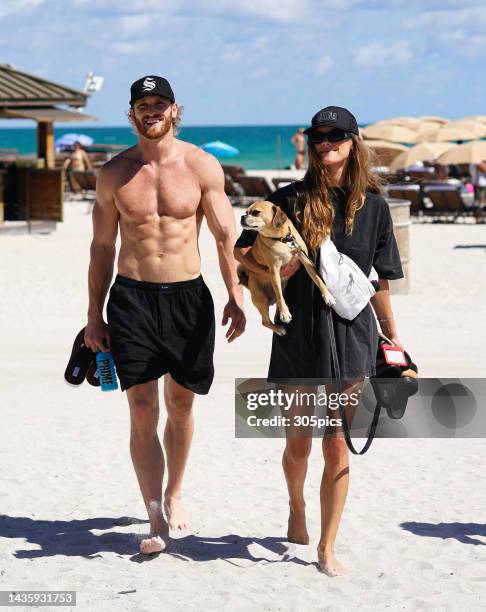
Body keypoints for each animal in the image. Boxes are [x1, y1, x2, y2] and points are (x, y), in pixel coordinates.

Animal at [238, 201, 336, 334]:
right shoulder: (274, 271)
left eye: (256, 212)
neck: (282, 239)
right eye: (246, 212)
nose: (242, 216)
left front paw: (328, 296)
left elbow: (318, 280)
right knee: (265, 321)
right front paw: (285, 313)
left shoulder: (306, 260)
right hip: (261, 299)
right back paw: (279, 329)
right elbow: (280, 296)